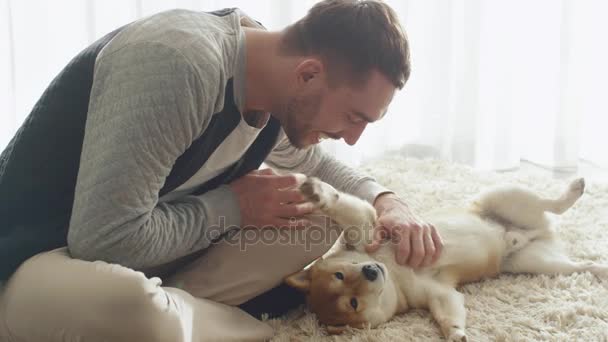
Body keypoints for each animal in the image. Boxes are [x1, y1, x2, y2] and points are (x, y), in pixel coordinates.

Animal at [286, 178, 608, 340]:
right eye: (353, 303)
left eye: (340, 274)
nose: (370, 272)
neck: (395, 275)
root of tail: (534, 232)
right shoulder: (438, 294)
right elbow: (447, 313)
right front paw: (456, 333)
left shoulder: (368, 229)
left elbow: (344, 208)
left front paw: (318, 193)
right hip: (533, 262)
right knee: (579, 264)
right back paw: (601, 268)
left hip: (505, 198)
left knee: (550, 203)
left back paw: (573, 189)